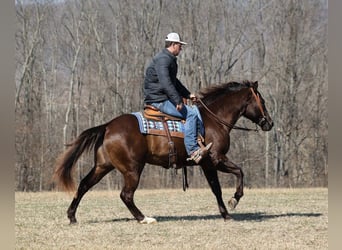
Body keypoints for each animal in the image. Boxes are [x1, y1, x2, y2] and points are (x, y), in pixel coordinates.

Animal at [52, 80, 272, 225]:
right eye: (262, 101)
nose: (269, 123)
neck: (213, 120)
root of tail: (107, 126)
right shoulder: (215, 159)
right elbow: (237, 174)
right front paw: (233, 202)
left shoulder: (207, 164)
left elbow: (218, 187)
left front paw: (226, 212)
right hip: (132, 169)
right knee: (126, 195)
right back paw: (143, 218)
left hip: (103, 166)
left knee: (84, 185)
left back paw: (72, 216)